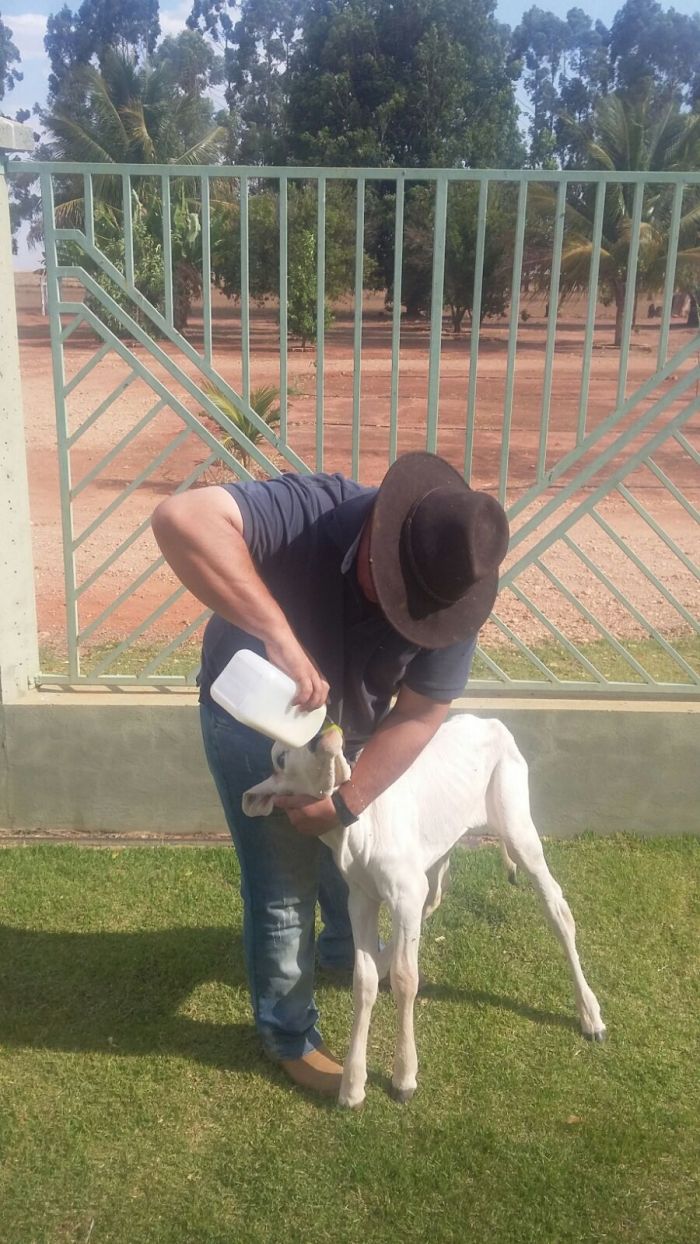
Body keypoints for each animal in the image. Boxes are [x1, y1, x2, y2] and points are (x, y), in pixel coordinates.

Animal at [243, 721, 604, 1109]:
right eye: (280, 757)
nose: (320, 734)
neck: (356, 831)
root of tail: (491, 722)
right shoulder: (362, 897)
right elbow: (363, 980)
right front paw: (352, 1085)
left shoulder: (404, 891)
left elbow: (405, 978)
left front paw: (404, 1077)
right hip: (438, 850)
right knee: (436, 897)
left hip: (517, 824)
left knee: (558, 909)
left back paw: (590, 1014)